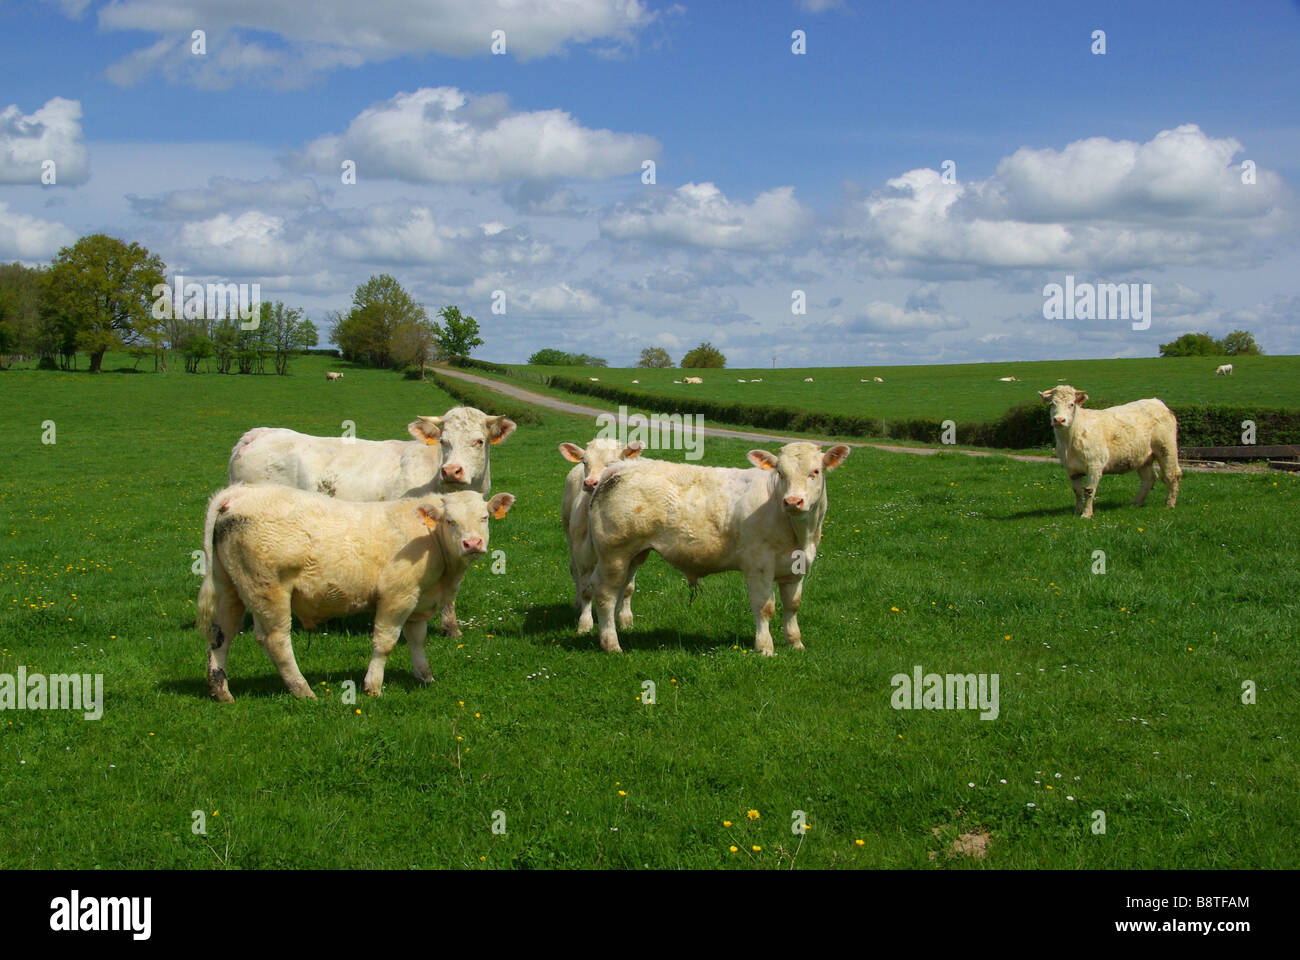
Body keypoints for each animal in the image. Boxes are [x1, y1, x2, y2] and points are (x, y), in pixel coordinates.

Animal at [197, 484, 515, 701]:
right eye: (450, 521)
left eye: (484, 518)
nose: (472, 543)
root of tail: (237, 493)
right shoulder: (397, 596)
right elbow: (386, 642)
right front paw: (372, 685)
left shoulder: (418, 600)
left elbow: (417, 640)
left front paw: (424, 677)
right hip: (268, 591)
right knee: (275, 640)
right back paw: (303, 690)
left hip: (229, 587)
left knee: (220, 634)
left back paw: (220, 690)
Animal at [558, 438, 645, 632]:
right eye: (585, 461)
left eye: (612, 462)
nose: (590, 482)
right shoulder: (583, 554)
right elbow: (586, 589)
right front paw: (585, 623)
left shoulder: (634, 556)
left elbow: (628, 587)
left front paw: (625, 619)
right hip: (569, 535)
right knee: (574, 570)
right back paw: (577, 604)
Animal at [584, 441, 851, 655]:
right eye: (781, 473)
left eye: (815, 471)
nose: (793, 501)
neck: (799, 534)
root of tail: (618, 467)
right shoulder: (759, 566)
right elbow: (765, 607)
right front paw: (765, 647)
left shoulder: (796, 568)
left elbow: (792, 606)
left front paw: (795, 643)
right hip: (613, 554)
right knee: (605, 593)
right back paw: (611, 644)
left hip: (632, 555)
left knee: (619, 590)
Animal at [1040, 385, 1181, 519]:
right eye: (1052, 404)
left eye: (1071, 404)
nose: (1059, 420)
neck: (1068, 441)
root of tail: (1156, 402)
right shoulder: (1071, 469)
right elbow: (1077, 491)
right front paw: (1077, 511)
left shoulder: (1095, 465)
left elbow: (1089, 491)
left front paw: (1086, 514)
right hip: (1142, 457)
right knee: (1148, 478)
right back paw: (1136, 504)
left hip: (1166, 449)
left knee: (1171, 475)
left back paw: (1169, 505)